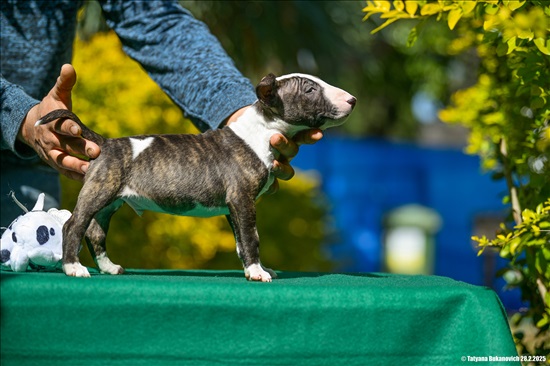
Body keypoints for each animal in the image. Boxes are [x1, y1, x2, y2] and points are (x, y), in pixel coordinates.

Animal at [37, 73, 358, 282]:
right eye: (309, 90)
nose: (353, 99)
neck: (260, 130)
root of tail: (105, 143)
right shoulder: (242, 199)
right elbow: (251, 237)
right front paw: (258, 272)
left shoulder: (233, 206)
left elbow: (240, 240)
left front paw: (253, 268)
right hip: (99, 192)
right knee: (74, 225)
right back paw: (73, 268)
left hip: (110, 201)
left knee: (95, 232)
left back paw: (108, 267)